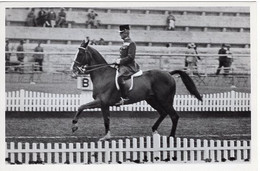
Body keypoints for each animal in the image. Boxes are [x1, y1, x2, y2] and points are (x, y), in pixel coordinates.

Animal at [71, 38, 203, 140]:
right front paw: (106, 136)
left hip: (165, 100)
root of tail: (169, 74)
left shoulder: (100, 102)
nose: (73, 70)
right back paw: (154, 131)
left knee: (174, 116)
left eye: (80, 54)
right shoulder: (104, 104)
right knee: (163, 113)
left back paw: (171, 136)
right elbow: (106, 120)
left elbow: (81, 107)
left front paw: (74, 125)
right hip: (152, 100)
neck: (103, 74)